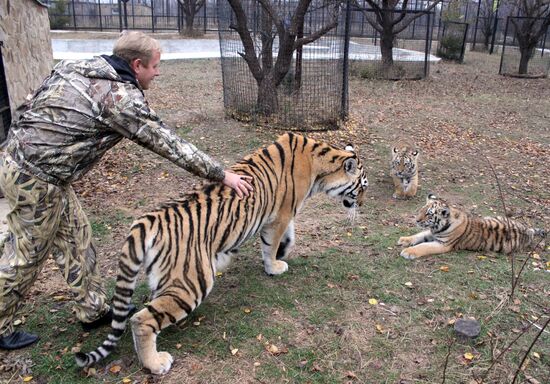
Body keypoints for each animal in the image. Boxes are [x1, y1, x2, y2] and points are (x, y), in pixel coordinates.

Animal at [74, 133, 370, 376]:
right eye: (363, 187)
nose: (364, 204)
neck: (321, 163)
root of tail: (148, 220)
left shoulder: (282, 214)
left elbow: (288, 237)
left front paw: (282, 253)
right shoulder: (281, 213)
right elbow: (272, 243)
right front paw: (274, 265)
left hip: (169, 279)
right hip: (192, 283)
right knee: (141, 320)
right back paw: (156, 363)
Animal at [402, 194, 548, 260]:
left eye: (429, 214)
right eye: (422, 209)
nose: (416, 220)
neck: (438, 227)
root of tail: (528, 230)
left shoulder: (443, 244)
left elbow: (423, 246)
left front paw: (408, 252)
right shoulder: (433, 233)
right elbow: (419, 235)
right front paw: (404, 240)